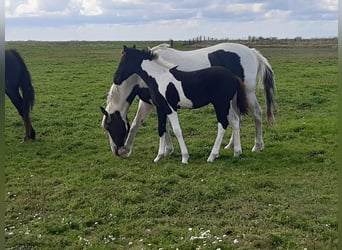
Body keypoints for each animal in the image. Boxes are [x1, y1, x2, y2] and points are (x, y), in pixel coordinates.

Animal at [101, 43, 276, 159]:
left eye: (109, 127)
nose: (116, 151)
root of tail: (252, 52)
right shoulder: (158, 104)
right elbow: (161, 126)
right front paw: (168, 150)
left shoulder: (150, 102)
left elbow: (138, 124)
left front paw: (129, 149)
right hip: (232, 101)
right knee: (237, 119)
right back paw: (231, 146)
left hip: (248, 94)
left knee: (257, 115)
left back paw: (257, 146)